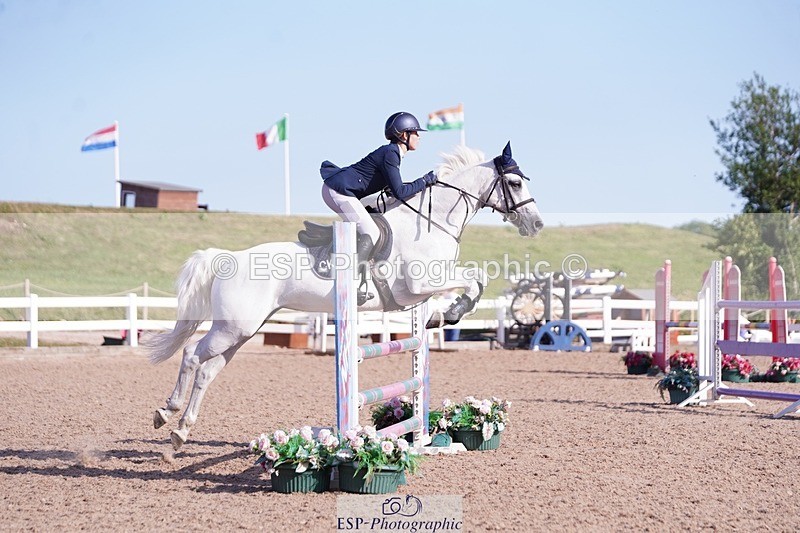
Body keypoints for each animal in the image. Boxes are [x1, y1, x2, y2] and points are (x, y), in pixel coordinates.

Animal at [147, 142, 544, 449]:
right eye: (513, 182)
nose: (536, 224)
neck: (431, 222)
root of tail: (227, 258)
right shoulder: (419, 286)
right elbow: (473, 281)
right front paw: (451, 313)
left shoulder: (420, 291)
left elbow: (475, 281)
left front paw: (439, 316)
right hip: (232, 328)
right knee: (192, 354)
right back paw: (167, 412)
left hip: (242, 330)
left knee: (207, 370)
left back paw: (180, 432)